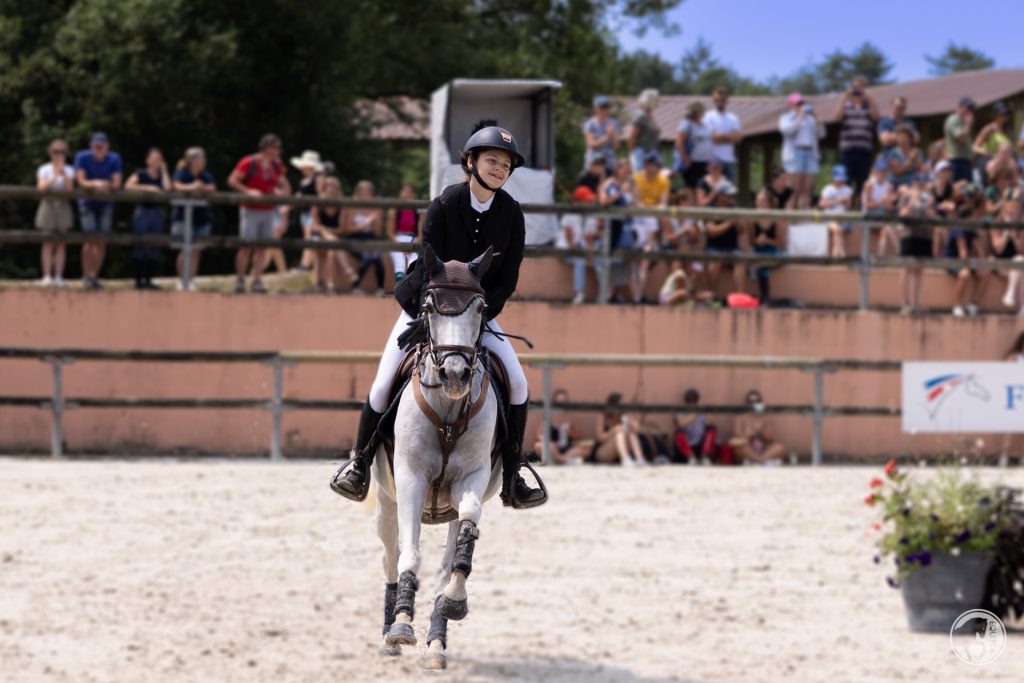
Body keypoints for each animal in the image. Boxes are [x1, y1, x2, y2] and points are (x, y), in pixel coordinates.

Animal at [374, 244, 505, 667]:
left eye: (480, 308)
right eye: (429, 306)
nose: (454, 375)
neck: (447, 413)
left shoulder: (472, 479)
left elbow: (464, 537)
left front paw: (454, 601)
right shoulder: (410, 480)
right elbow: (409, 556)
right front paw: (401, 626)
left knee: (446, 559)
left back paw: (436, 643)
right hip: (386, 501)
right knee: (391, 554)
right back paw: (389, 632)